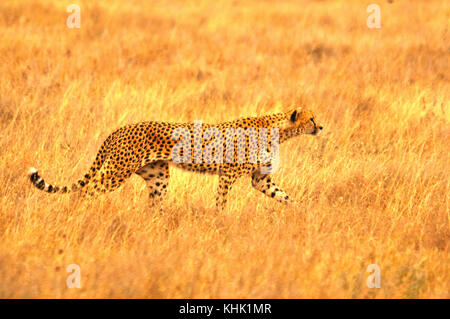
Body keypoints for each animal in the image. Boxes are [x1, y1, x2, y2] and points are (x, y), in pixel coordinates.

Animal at [28, 109, 322, 211]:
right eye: (311, 118)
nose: (321, 127)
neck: (279, 129)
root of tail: (120, 128)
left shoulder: (259, 179)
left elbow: (283, 195)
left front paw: (303, 211)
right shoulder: (228, 174)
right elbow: (221, 201)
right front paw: (220, 221)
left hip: (158, 177)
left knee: (154, 204)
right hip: (118, 171)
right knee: (86, 191)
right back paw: (79, 213)